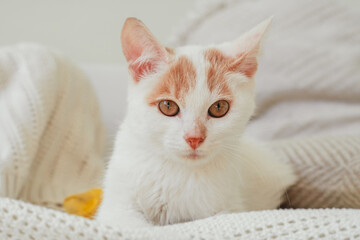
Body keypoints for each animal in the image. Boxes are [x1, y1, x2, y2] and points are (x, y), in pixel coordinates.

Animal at [97, 17, 296, 228]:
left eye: (219, 108)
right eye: (168, 106)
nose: (194, 138)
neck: (179, 171)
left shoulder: (229, 207)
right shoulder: (116, 206)